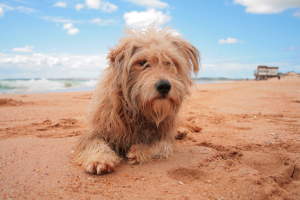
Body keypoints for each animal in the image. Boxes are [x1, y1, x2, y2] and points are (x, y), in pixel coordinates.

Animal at [73, 28, 199, 175]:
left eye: (170, 62)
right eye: (142, 63)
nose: (164, 86)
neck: (137, 111)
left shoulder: (164, 136)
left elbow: (160, 145)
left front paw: (140, 150)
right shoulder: (96, 132)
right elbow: (94, 143)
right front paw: (99, 159)